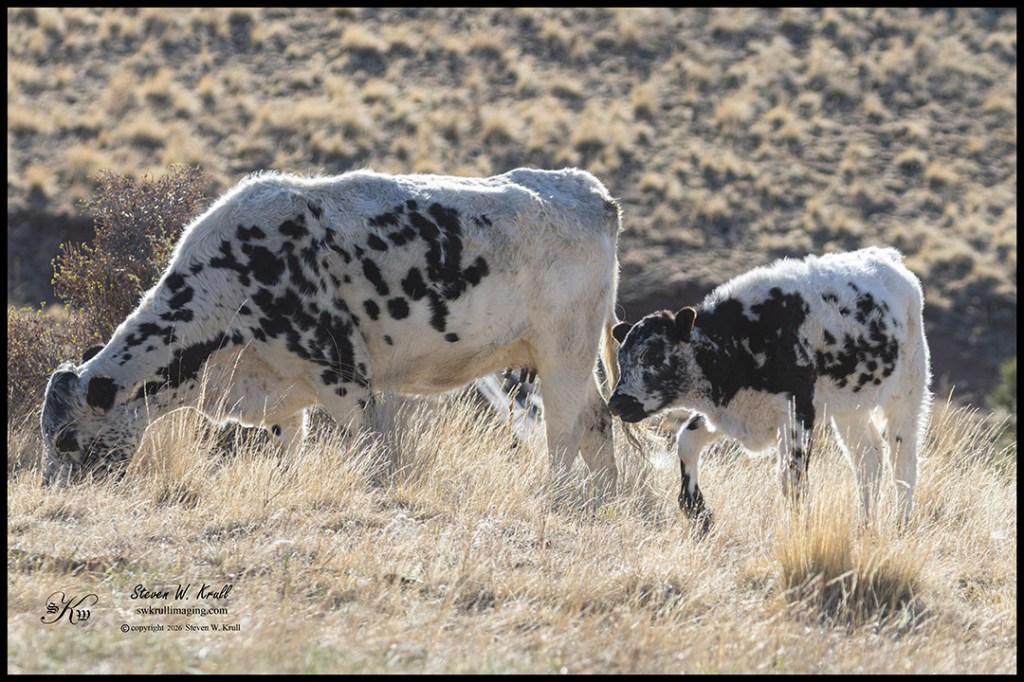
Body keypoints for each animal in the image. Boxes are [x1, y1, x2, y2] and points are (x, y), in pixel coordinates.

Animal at [40, 167, 623, 497]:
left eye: (66, 438)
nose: (50, 494)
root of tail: (587, 189)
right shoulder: (282, 391)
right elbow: (287, 452)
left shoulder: (344, 375)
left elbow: (373, 456)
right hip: (567, 356)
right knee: (597, 421)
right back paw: (606, 496)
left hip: (564, 350)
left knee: (565, 430)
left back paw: (556, 492)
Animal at [607, 247, 932, 529]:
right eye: (621, 359)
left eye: (651, 355)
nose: (616, 403)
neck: (739, 340)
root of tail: (889, 259)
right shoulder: (730, 411)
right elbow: (685, 441)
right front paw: (697, 511)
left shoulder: (797, 413)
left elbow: (792, 481)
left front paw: (798, 528)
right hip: (851, 409)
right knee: (868, 459)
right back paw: (864, 524)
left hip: (908, 391)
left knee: (903, 460)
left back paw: (900, 522)